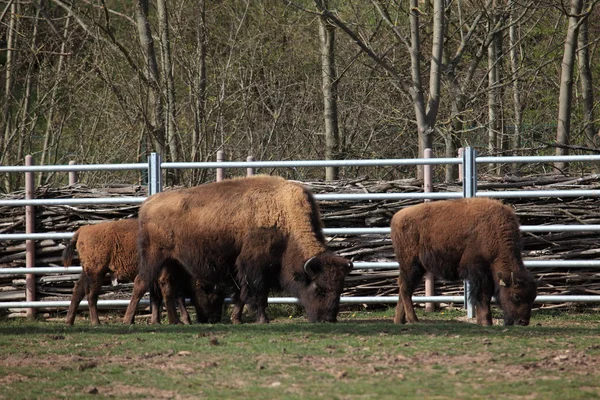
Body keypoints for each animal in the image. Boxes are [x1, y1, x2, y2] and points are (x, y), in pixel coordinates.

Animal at [63, 219, 224, 324]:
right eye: (212, 295)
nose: (215, 319)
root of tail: (83, 230)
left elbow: (158, 298)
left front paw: (157, 321)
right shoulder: (166, 275)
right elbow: (171, 294)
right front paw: (180, 320)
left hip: (88, 272)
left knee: (78, 290)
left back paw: (69, 321)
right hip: (97, 272)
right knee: (91, 295)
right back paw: (96, 322)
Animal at [124, 176, 354, 324]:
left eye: (340, 289)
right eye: (319, 288)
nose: (328, 319)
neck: (285, 218)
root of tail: (147, 204)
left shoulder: (241, 270)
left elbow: (241, 295)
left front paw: (237, 319)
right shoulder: (254, 266)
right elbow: (257, 293)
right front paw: (263, 319)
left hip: (172, 262)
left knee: (167, 287)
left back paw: (174, 322)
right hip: (153, 257)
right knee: (141, 283)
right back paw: (129, 320)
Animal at [392, 198, 536, 326]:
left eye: (533, 296)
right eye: (516, 296)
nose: (524, 322)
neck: (494, 230)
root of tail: (397, 217)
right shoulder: (478, 272)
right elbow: (483, 296)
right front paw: (486, 322)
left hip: (416, 267)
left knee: (403, 288)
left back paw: (399, 320)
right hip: (411, 265)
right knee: (405, 289)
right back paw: (413, 320)